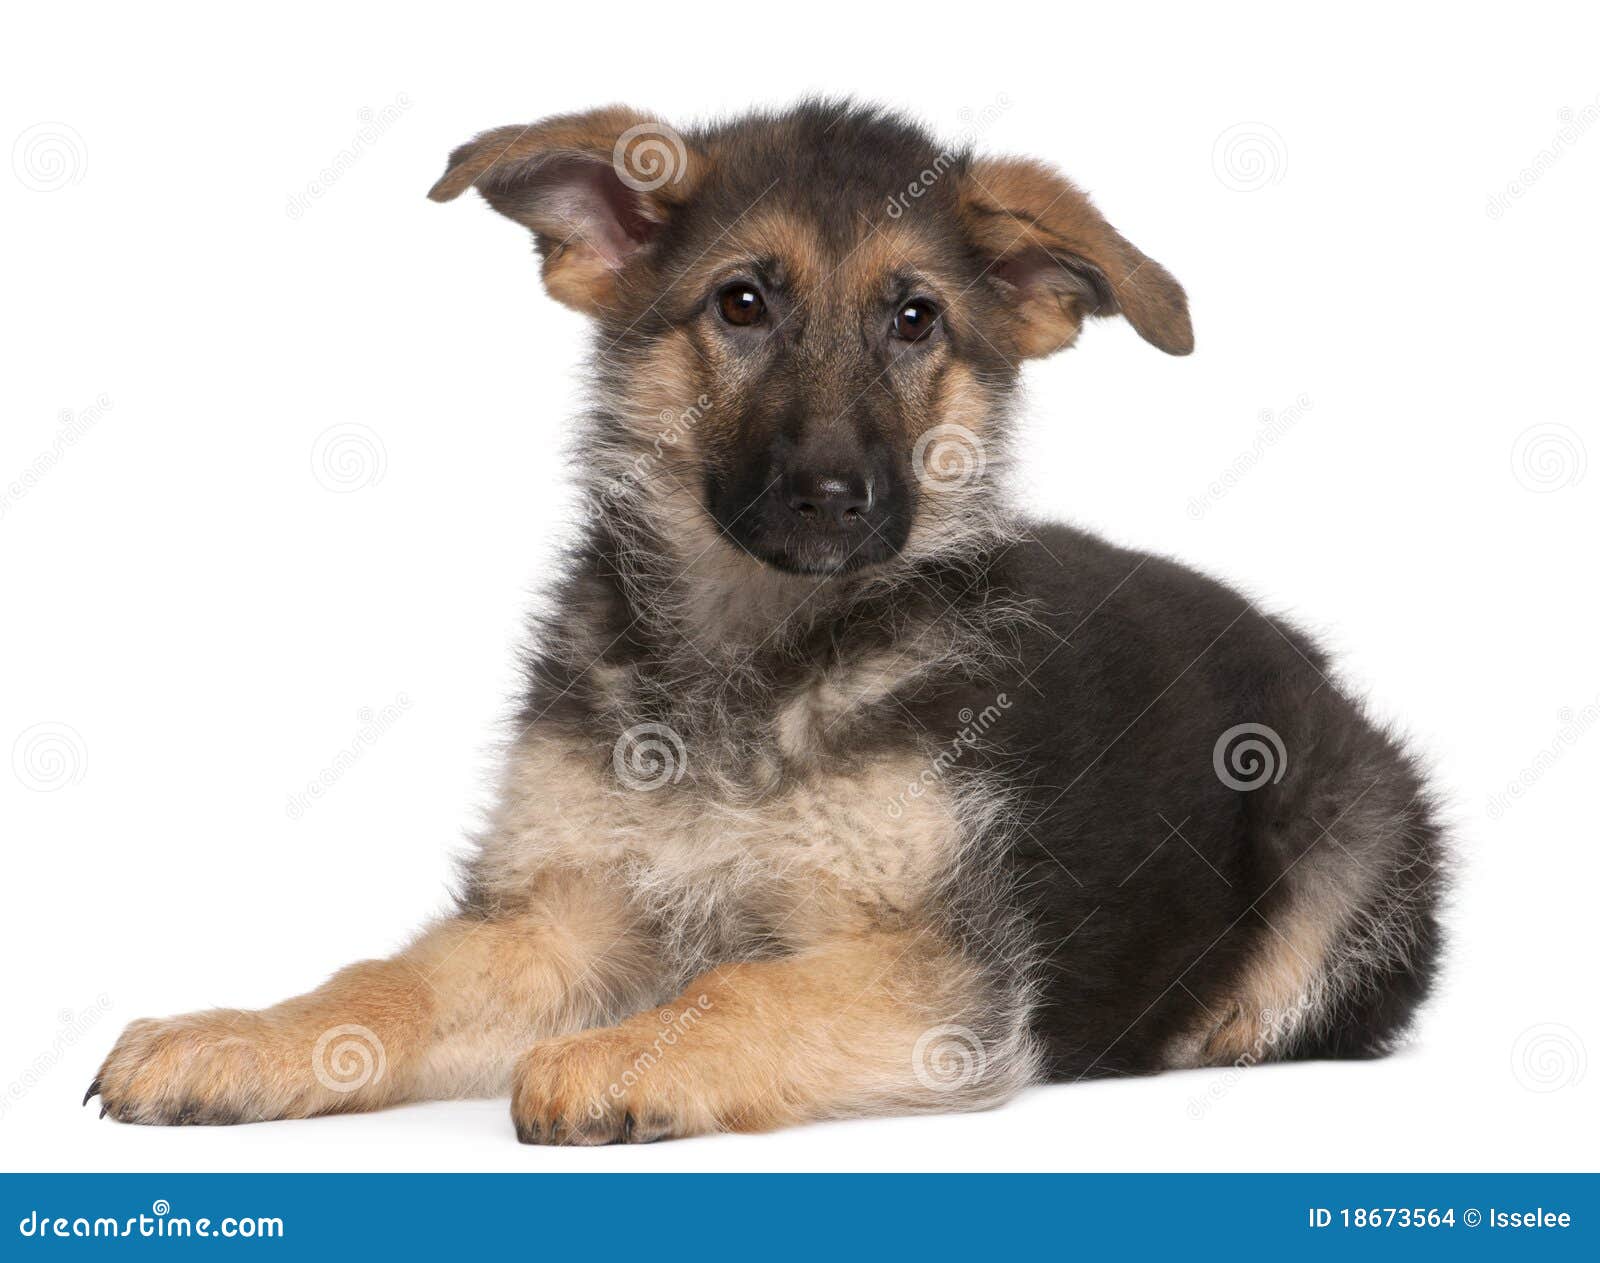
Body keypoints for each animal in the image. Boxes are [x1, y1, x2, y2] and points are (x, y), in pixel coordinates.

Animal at [87, 100, 1446, 1146]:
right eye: (741, 305)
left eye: (915, 319)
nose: (832, 494)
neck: (751, 657)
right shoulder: (558, 915)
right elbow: (389, 981)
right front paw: (245, 1036)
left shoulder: (934, 972)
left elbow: (737, 988)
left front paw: (625, 1057)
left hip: (1350, 837)